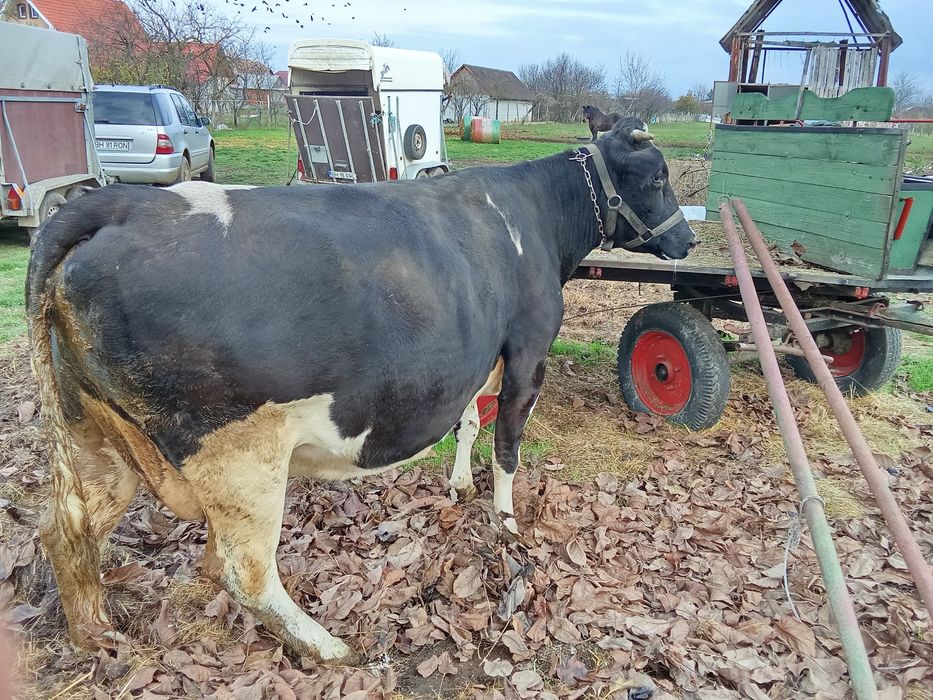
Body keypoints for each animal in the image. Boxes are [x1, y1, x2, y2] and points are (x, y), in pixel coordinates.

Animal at [27, 117, 696, 663]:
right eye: (659, 176)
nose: (687, 241)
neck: (534, 217)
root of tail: (119, 204)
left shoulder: (479, 356)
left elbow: (468, 419)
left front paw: (458, 485)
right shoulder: (528, 352)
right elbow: (506, 442)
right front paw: (505, 521)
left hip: (93, 432)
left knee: (68, 530)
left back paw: (95, 635)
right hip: (239, 454)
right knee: (245, 572)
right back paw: (328, 647)